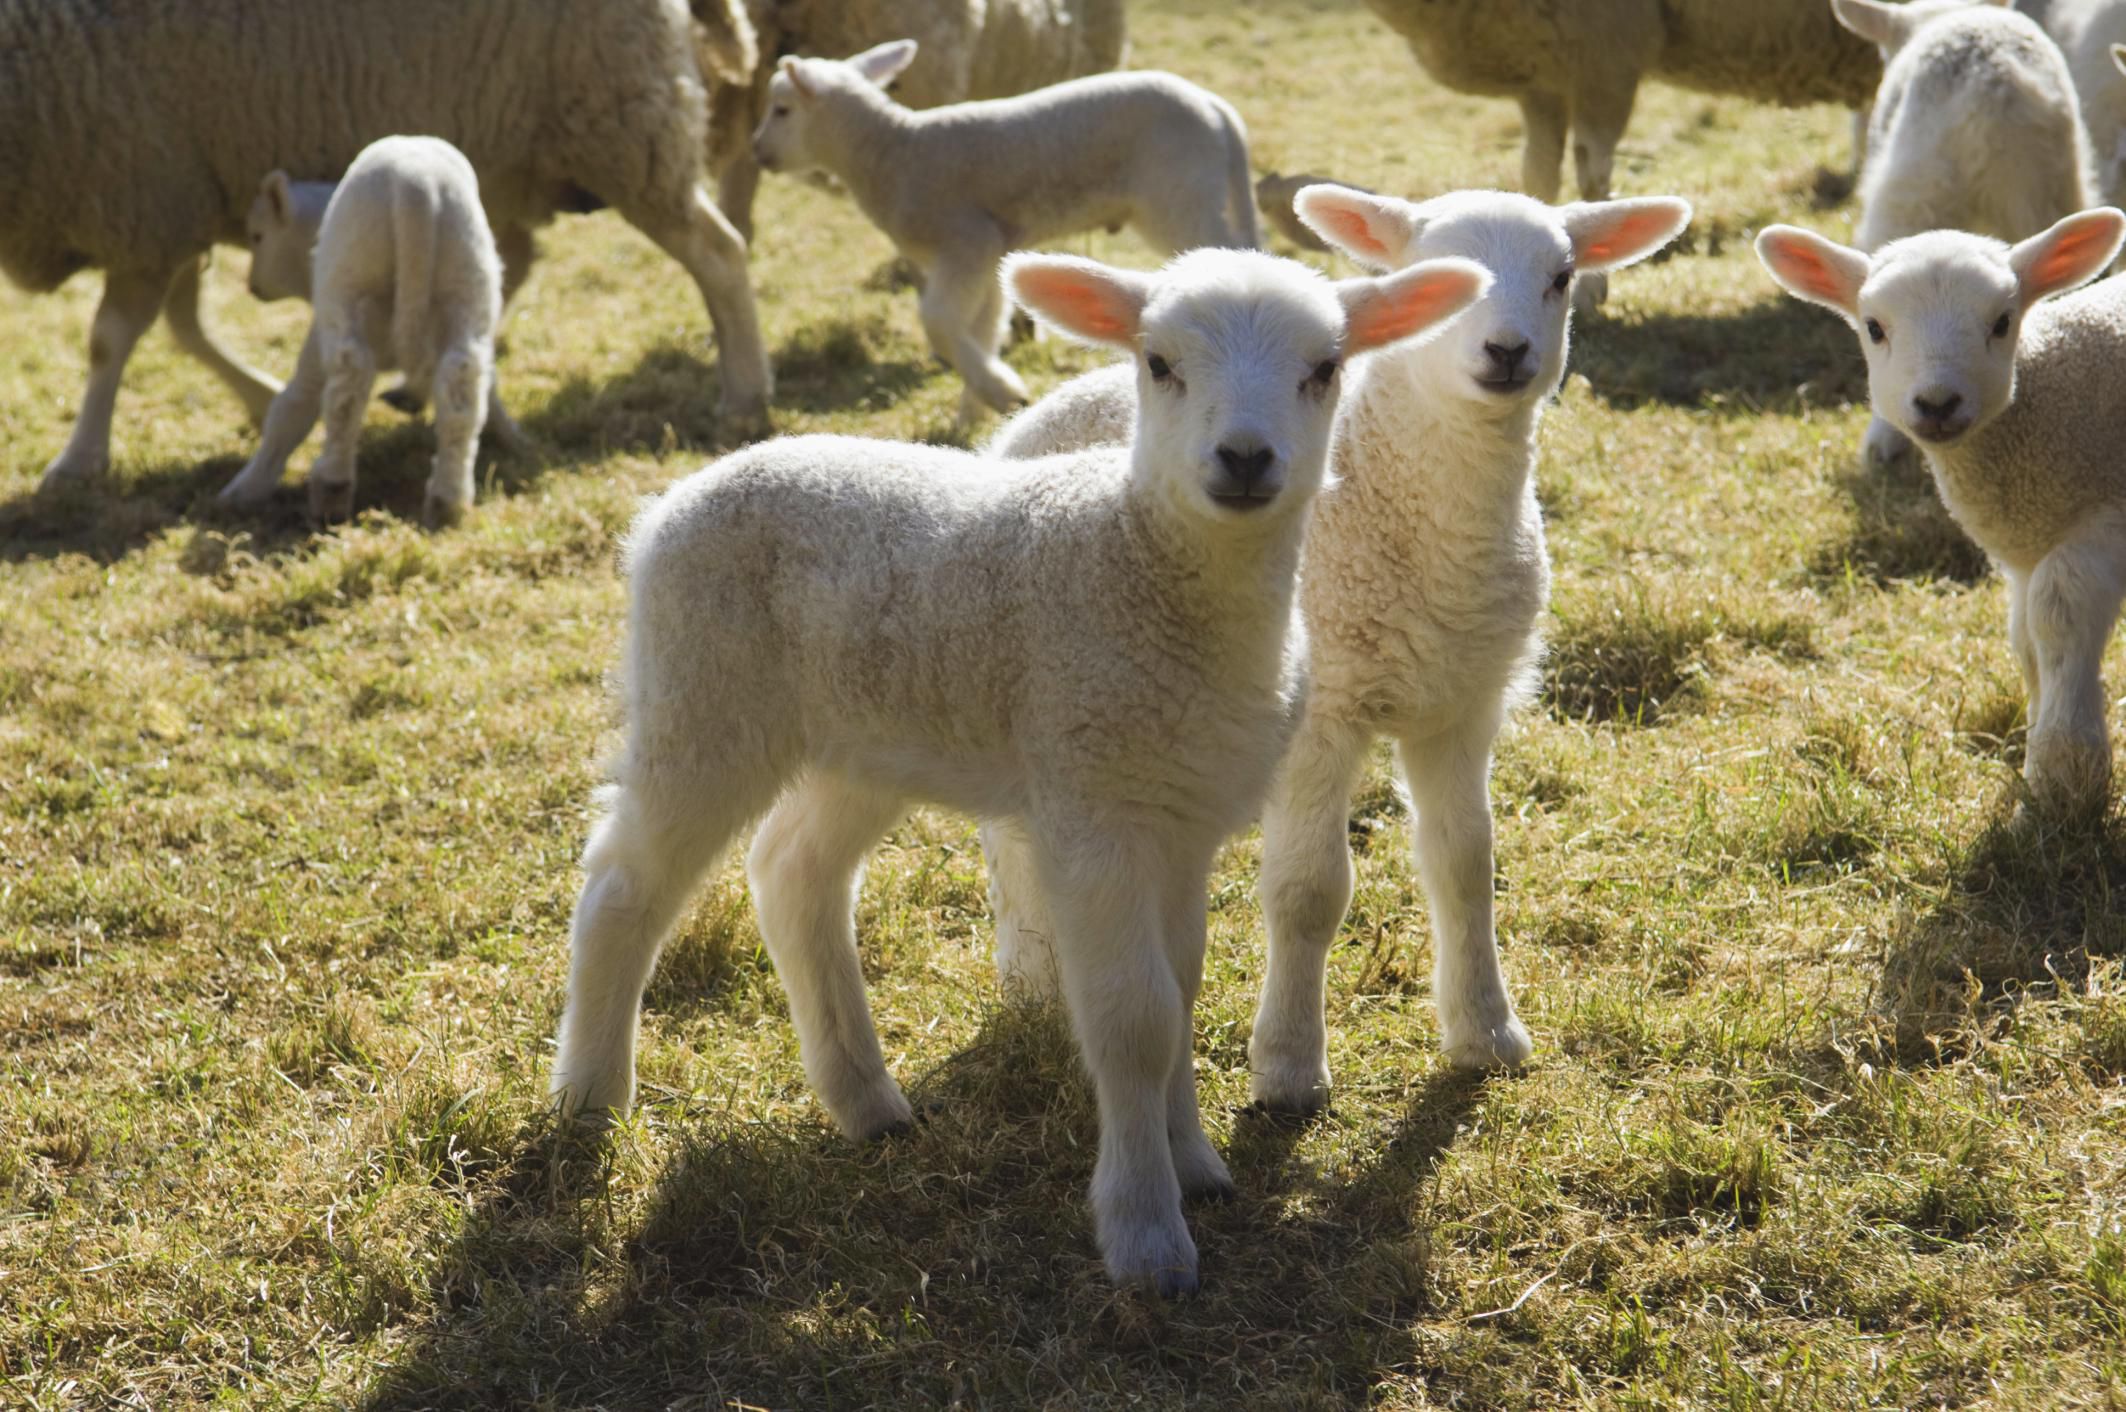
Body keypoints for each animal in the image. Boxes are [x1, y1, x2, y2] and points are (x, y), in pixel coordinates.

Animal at [214, 138, 522, 528]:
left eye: (257, 235)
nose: (253, 287)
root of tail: (416, 189)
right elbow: (491, 389)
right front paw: (515, 440)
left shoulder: (319, 327)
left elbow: (292, 406)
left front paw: (245, 489)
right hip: (469, 282)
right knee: (463, 383)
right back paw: (448, 500)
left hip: (349, 286)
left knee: (349, 382)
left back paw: (332, 488)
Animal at [546, 245, 1493, 1294]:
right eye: (1157, 363)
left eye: (1325, 368)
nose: (1245, 459)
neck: (1142, 561)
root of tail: (675, 500)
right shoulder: (1089, 802)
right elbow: (1134, 1018)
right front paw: (1146, 1232)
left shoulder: (1181, 813)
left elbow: (1181, 992)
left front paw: (1195, 1165)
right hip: (702, 695)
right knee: (624, 887)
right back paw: (591, 1097)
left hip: (863, 736)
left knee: (793, 871)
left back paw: (865, 1100)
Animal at [749, 40, 1259, 426]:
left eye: (781, 110)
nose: (756, 151)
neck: (893, 153)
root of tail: (1218, 110)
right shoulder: (992, 252)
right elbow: (984, 325)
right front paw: (977, 412)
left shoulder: (967, 240)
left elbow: (938, 320)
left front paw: (1000, 391)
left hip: (1181, 198)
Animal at [980, 186, 1693, 1102]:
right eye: (1430, 272)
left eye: (1562, 276)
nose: (1507, 351)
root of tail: (1049, 402)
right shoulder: (1323, 714)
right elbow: (1308, 890)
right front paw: (1288, 1064)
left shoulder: (1464, 703)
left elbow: (1466, 862)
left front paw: (1486, 1029)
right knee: (1010, 833)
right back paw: (1031, 978)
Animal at [1757, 208, 2126, 811]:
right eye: (1874, 327)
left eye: (2002, 322)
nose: (1936, 403)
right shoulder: (2027, 550)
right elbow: (2026, 641)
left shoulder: (2105, 516)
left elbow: (2057, 611)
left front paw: (2064, 774)